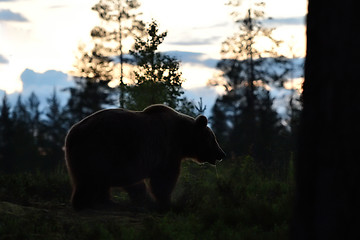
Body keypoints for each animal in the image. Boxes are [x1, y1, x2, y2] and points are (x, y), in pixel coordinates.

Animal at [63, 103, 224, 210]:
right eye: (213, 138)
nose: (222, 153)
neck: (182, 139)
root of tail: (72, 132)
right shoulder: (167, 150)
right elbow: (164, 180)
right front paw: (167, 203)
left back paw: (104, 202)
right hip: (100, 148)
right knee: (90, 180)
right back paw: (85, 202)